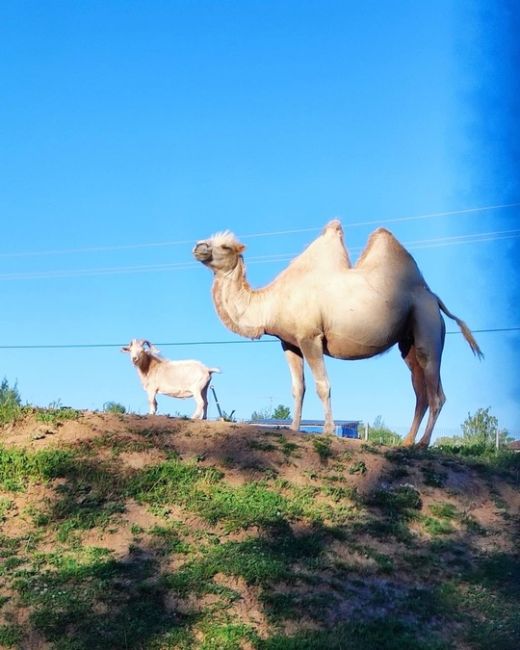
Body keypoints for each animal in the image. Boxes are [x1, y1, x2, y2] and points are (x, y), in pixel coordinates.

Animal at [194, 219, 484, 446]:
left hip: (427, 325)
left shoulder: (310, 337)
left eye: (225, 246)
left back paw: (423, 443)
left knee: (436, 392)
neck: (270, 302)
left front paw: (327, 430)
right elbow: (298, 387)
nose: (198, 247)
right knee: (420, 390)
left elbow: (323, 385)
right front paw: (293, 428)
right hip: (408, 342)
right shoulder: (289, 343)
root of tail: (433, 297)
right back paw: (407, 441)